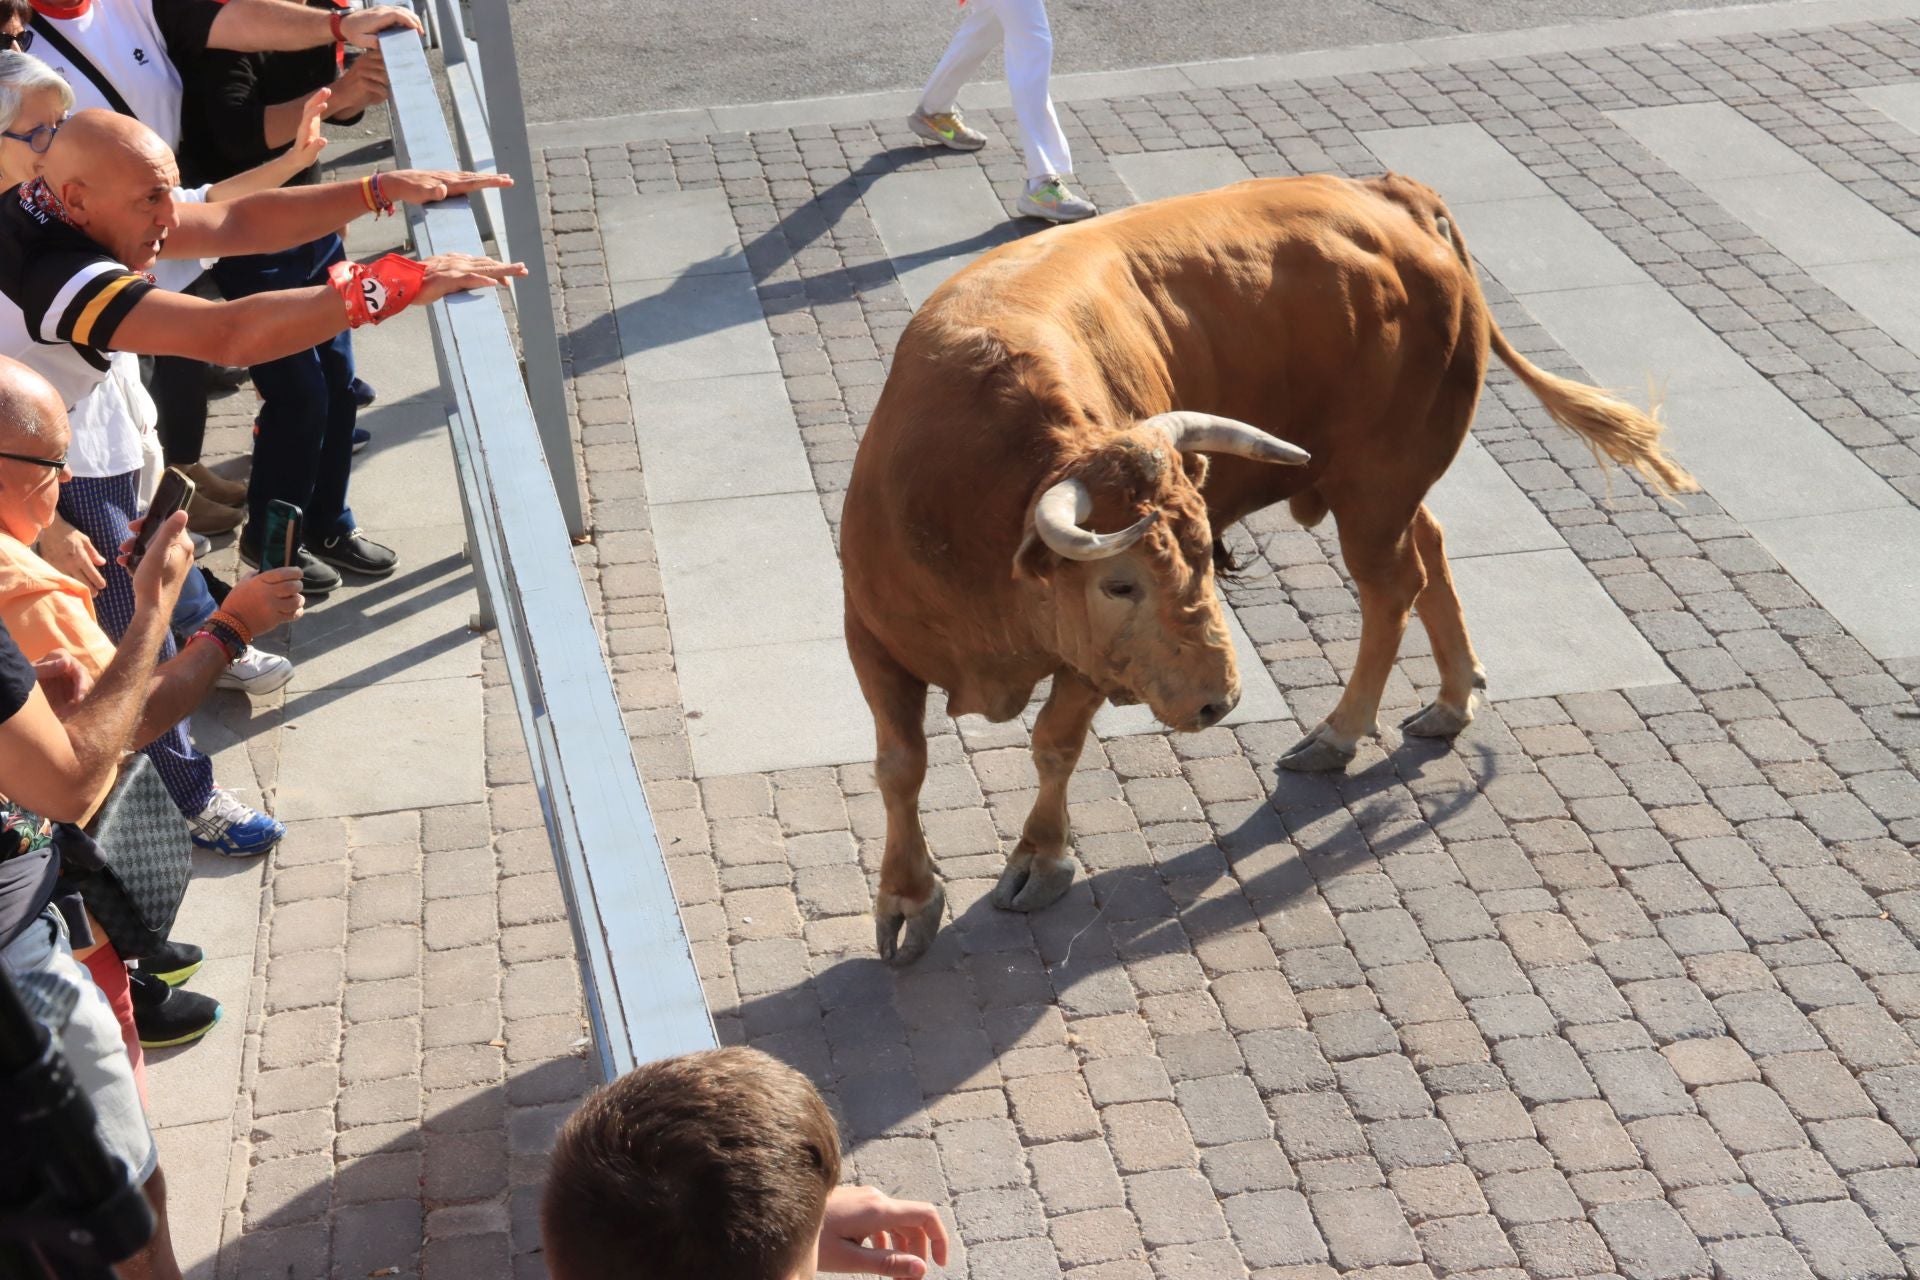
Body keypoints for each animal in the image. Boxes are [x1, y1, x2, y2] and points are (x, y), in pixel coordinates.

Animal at [840, 175, 1697, 967]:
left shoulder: (1088, 658)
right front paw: (906, 901)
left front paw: (1038, 859)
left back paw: (1340, 733)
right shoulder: (870, 637)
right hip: (1386, 487)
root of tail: (1388, 194)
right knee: (1430, 546)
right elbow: (899, 766)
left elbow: (1054, 743)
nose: (1220, 701)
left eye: (1208, 558)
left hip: (1378, 483)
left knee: (1392, 588)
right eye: (1121, 583)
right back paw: (1454, 696)